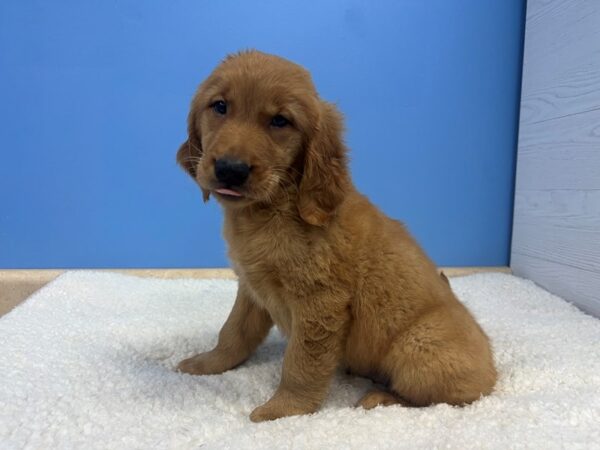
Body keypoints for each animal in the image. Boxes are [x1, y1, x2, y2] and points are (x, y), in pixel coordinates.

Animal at [175, 51, 496, 424]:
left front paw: (284, 409)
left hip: (419, 345)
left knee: (445, 398)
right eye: (220, 106)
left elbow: (301, 363)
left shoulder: (321, 302)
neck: (274, 209)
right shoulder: (251, 288)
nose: (231, 169)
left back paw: (380, 398)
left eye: (280, 121)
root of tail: (494, 369)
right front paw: (207, 363)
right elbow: (233, 333)